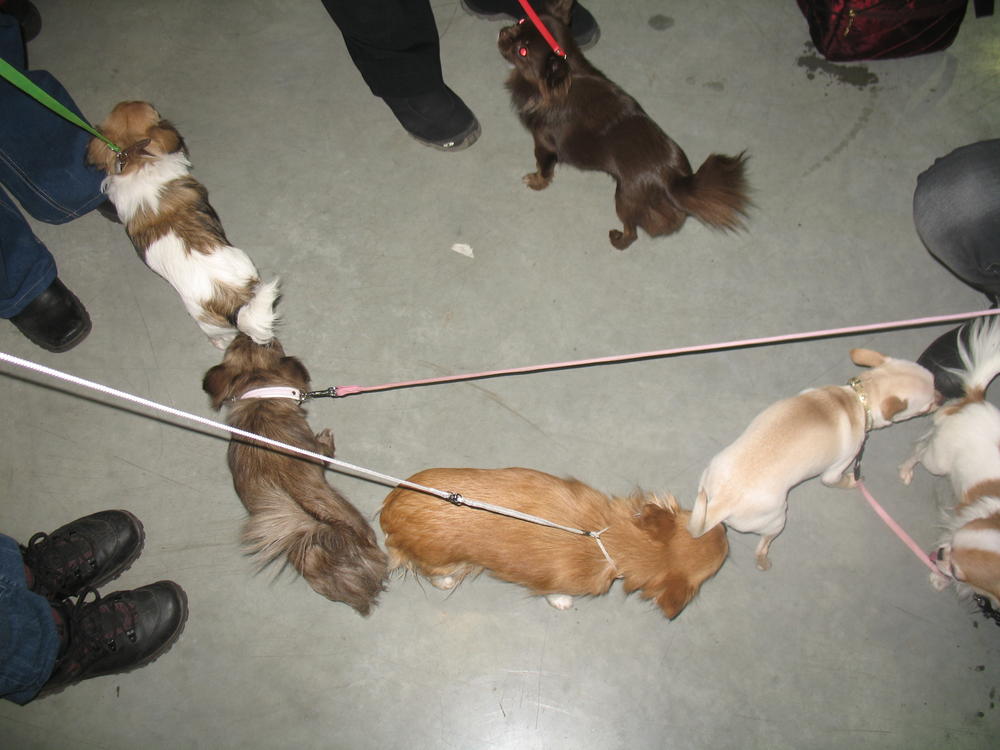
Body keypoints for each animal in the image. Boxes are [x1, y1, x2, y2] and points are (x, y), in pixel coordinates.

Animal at [202, 334, 387, 615]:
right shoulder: (316, 451)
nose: (244, 332)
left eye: (237, 343)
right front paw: (326, 438)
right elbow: (323, 449)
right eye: (271, 344)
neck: (260, 398)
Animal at [379, 467, 728, 619]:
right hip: (446, 562)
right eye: (718, 564)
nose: (726, 530)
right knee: (432, 573)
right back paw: (446, 581)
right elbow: (554, 594)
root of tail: (390, 511)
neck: (610, 539)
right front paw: (561, 602)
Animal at [498, 0, 749, 250]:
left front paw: (536, 181)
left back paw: (618, 240)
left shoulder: (543, 144)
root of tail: (674, 178)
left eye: (522, 51)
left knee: (632, 232)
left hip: (624, 198)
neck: (564, 78)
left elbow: (543, 168)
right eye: (521, 21)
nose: (502, 33)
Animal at [689, 348, 940, 571]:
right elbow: (841, 480)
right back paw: (764, 562)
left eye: (936, 382)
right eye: (928, 405)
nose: (944, 397)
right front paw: (854, 480)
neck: (857, 399)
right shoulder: (834, 471)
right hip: (777, 519)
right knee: (762, 546)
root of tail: (721, 503)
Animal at [899, 317, 1000, 606]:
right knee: (920, 450)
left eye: (958, 569)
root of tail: (976, 400)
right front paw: (940, 579)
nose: (940, 555)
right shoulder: (958, 524)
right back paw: (906, 470)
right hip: (938, 460)